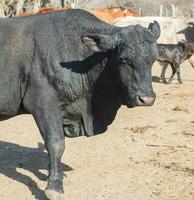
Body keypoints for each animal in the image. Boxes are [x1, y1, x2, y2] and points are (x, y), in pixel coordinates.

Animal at [0, 9, 161, 200]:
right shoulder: (42, 103)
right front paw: (54, 186)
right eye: (124, 60)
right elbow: (56, 144)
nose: (147, 99)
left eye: (154, 59)